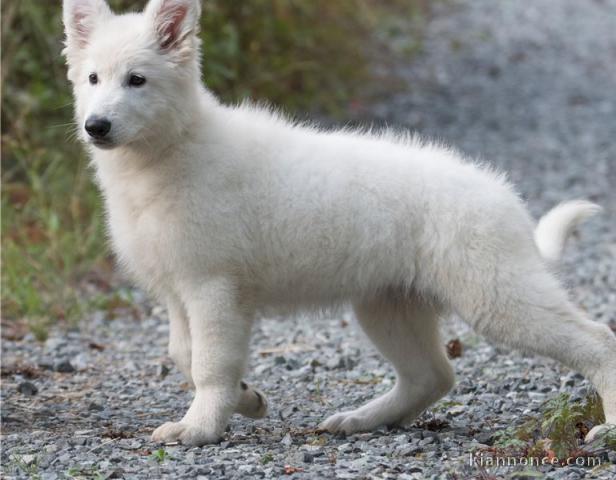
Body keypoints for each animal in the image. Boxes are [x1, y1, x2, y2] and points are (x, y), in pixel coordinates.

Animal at [63, 0, 616, 446]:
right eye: (93, 80)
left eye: (137, 80)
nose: (96, 126)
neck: (170, 149)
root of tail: (508, 201)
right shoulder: (181, 291)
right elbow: (183, 352)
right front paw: (248, 398)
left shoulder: (213, 287)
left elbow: (208, 363)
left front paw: (200, 427)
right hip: (389, 304)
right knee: (432, 376)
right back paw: (362, 420)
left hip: (495, 297)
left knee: (596, 340)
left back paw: (607, 429)